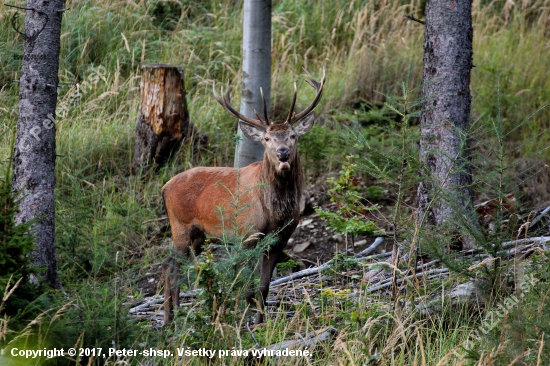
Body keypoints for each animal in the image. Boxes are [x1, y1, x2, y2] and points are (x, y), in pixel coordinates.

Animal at [163, 69, 328, 326]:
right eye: (267, 139)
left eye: (293, 136)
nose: (283, 153)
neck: (275, 212)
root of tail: (164, 187)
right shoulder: (247, 235)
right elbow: (247, 287)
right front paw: (245, 322)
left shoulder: (280, 239)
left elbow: (264, 286)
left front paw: (261, 322)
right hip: (180, 226)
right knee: (171, 270)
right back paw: (172, 319)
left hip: (198, 236)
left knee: (174, 268)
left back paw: (174, 317)